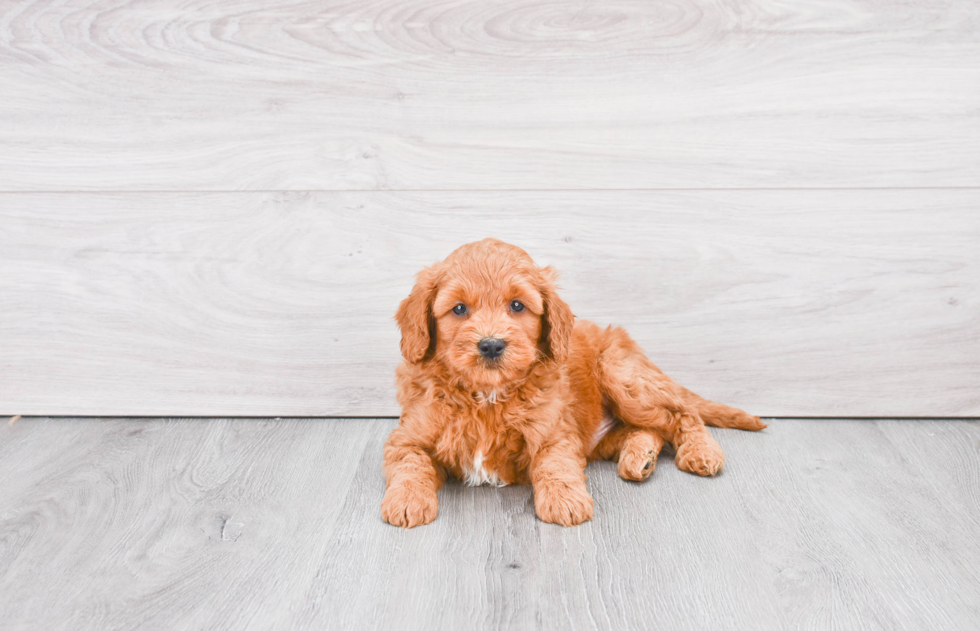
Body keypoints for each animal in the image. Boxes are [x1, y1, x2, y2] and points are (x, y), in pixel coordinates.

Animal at [382, 238, 764, 528]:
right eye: (459, 309)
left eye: (517, 306)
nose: (491, 345)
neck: (486, 395)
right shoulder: (406, 437)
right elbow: (410, 463)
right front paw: (406, 500)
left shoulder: (554, 434)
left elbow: (556, 465)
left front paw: (564, 500)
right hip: (605, 434)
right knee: (648, 429)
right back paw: (639, 457)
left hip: (623, 377)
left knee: (682, 414)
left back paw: (701, 452)